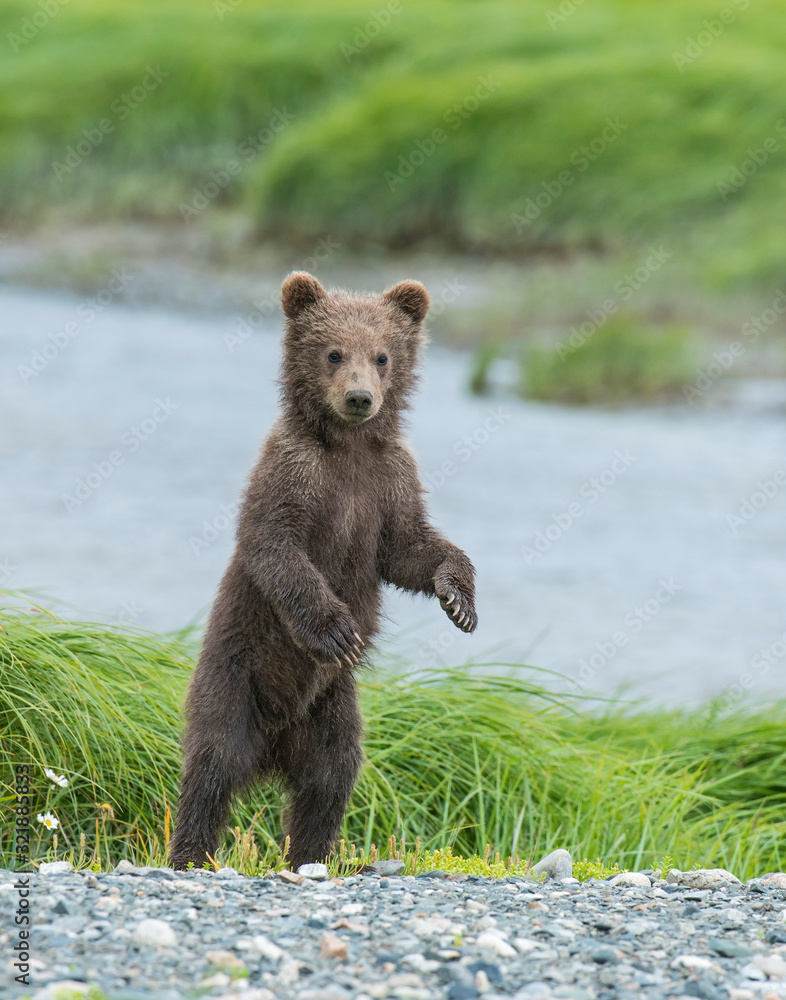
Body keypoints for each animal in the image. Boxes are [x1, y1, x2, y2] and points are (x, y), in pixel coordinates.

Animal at [168, 272, 477, 872]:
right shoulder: (294, 473)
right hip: (233, 676)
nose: (360, 397)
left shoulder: (389, 481)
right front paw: (336, 629)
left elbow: (410, 548)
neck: (348, 447)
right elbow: (277, 546)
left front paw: (459, 600)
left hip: (331, 706)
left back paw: (310, 856)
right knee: (213, 767)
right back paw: (191, 854)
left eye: (382, 356)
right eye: (333, 352)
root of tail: (273, 743)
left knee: (331, 777)